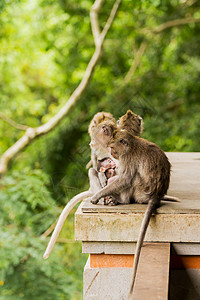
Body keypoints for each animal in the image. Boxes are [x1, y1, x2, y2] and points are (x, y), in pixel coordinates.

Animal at [90, 129, 171, 298]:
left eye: (113, 147)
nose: (112, 153)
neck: (131, 145)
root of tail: (157, 195)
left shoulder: (128, 158)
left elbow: (125, 179)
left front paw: (98, 195)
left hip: (141, 192)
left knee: (132, 178)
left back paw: (120, 199)